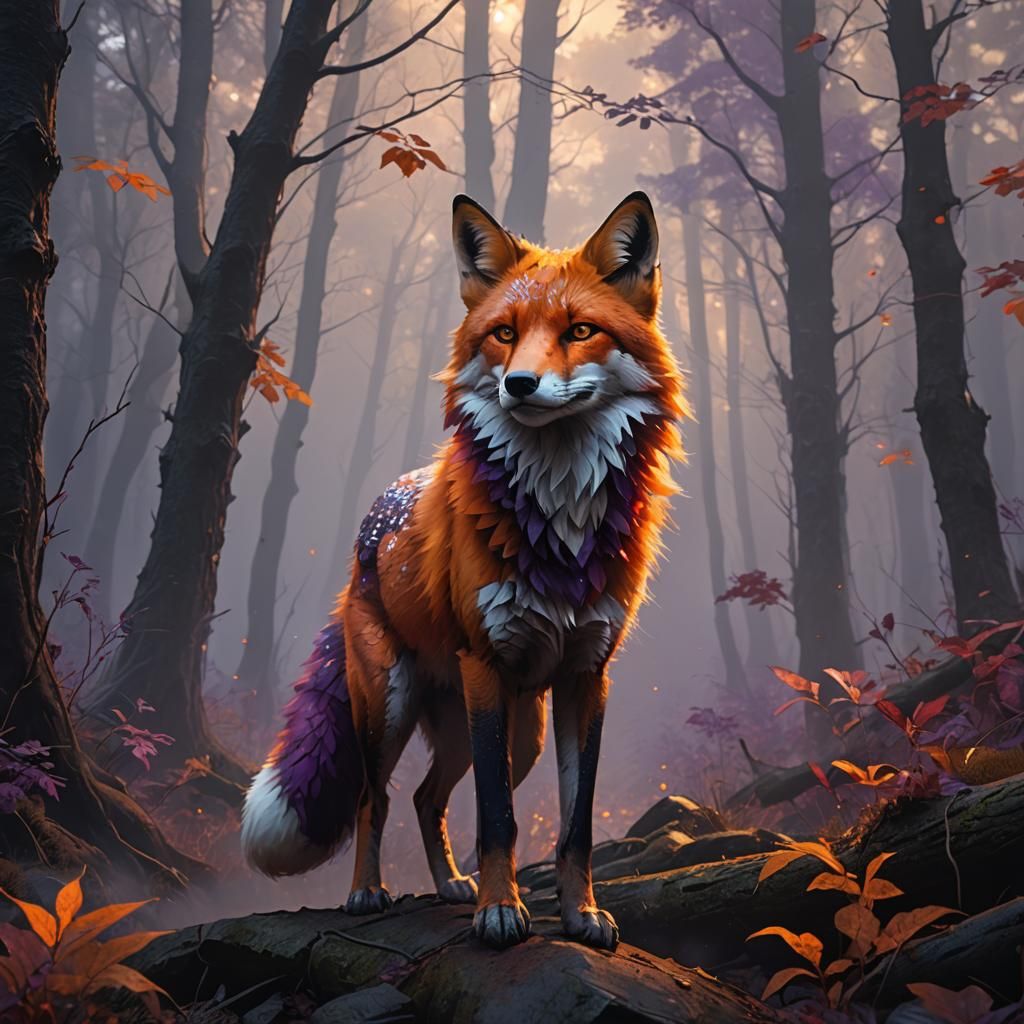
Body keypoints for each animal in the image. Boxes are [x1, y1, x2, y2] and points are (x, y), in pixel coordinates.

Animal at [241, 191, 686, 950]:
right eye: (503, 334)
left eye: (580, 330)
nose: (519, 384)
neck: (560, 527)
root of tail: (371, 524)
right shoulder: (485, 664)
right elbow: (499, 820)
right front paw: (500, 914)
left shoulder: (587, 675)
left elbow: (575, 826)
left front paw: (579, 915)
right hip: (393, 706)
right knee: (376, 797)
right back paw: (369, 893)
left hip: (516, 732)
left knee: (428, 797)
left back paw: (453, 885)